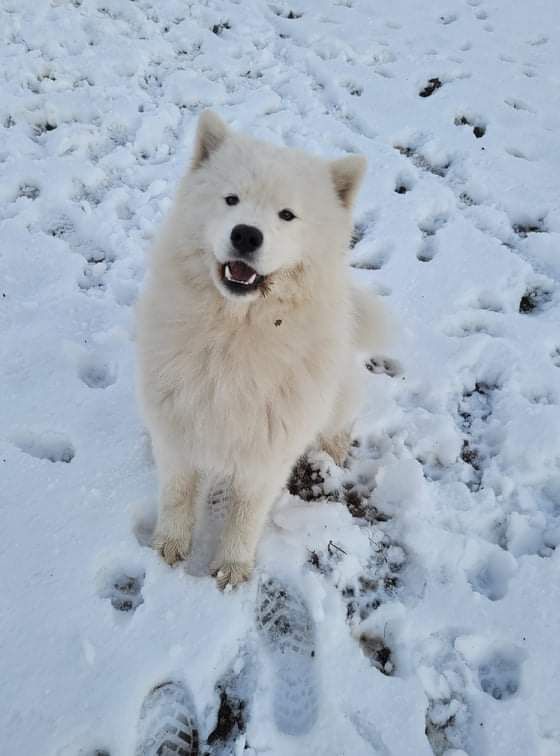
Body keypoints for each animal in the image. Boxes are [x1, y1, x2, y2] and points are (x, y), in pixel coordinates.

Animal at [138, 112, 388, 588]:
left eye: (287, 215)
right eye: (231, 199)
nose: (246, 235)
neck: (235, 334)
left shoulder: (269, 448)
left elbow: (245, 514)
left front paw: (232, 569)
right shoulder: (178, 424)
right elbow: (178, 493)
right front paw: (170, 546)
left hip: (336, 396)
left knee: (341, 424)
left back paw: (330, 458)